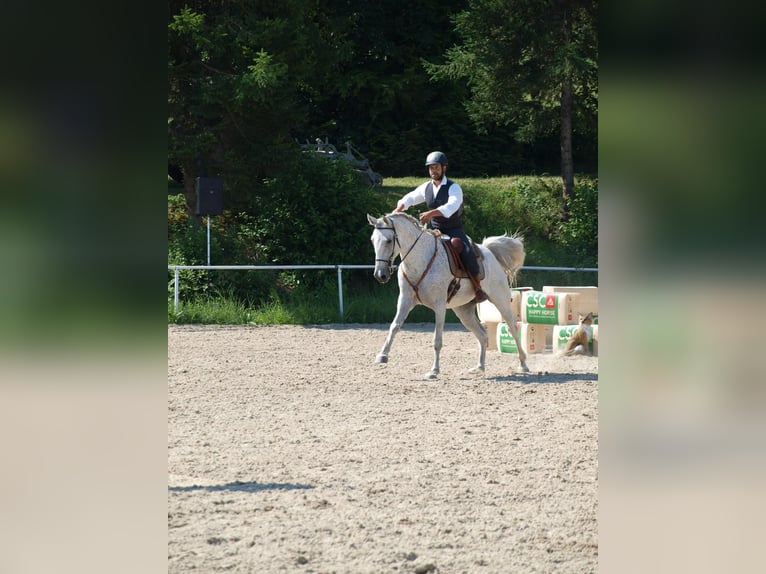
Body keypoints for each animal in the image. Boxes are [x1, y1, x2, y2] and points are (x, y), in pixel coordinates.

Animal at [368, 214, 532, 380]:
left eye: (389, 240)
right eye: (373, 240)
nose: (380, 275)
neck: (420, 259)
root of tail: (490, 254)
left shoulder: (439, 306)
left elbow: (437, 340)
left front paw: (434, 371)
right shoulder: (405, 300)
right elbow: (394, 326)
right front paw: (382, 356)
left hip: (500, 301)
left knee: (512, 327)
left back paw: (523, 364)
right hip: (464, 311)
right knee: (482, 335)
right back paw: (479, 367)